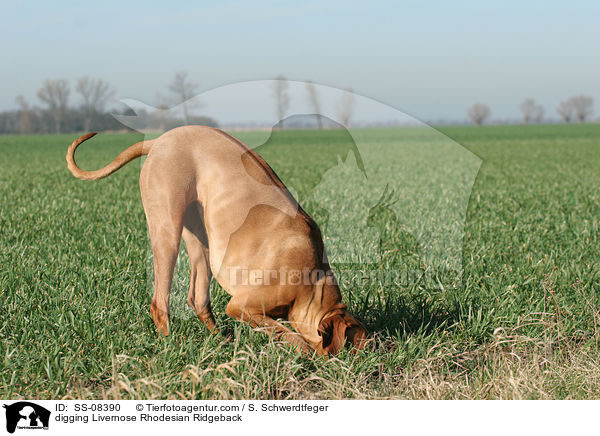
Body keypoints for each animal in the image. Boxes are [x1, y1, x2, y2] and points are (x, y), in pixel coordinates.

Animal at [64, 125, 366, 354]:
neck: (311, 281)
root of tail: (159, 141)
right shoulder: (242, 305)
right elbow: (284, 331)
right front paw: (300, 350)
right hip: (167, 230)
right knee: (159, 302)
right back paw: (171, 344)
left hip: (202, 242)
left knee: (197, 298)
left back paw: (218, 340)